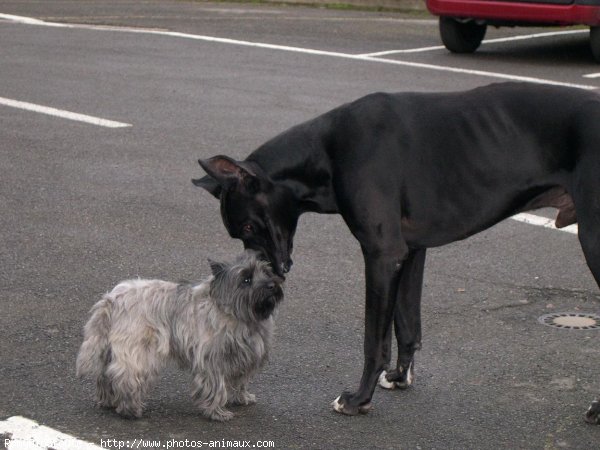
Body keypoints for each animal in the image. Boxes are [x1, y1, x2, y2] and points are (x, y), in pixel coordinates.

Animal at [75, 251, 286, 420]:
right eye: (246, 279)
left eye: (266, 272)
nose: (272, 285)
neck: (234, 312)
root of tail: (111, 299)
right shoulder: (212, 360)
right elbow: (216, 386)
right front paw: (217, 412)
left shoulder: (243, 357)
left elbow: (240, 380)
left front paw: (242, 397)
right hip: (139, 352)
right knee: (126, 376)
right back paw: (131, 409)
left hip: (112, 349)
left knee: (105, 374)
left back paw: (108, 401)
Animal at [193, 81, 600, 422]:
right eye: (239, 233)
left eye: (248, 227)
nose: (270, 276)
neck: (329, 151)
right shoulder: (411, 250)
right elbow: (407, 325)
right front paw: (401, 376)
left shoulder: (382, 254)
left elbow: (374, 339)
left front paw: (358, 399)